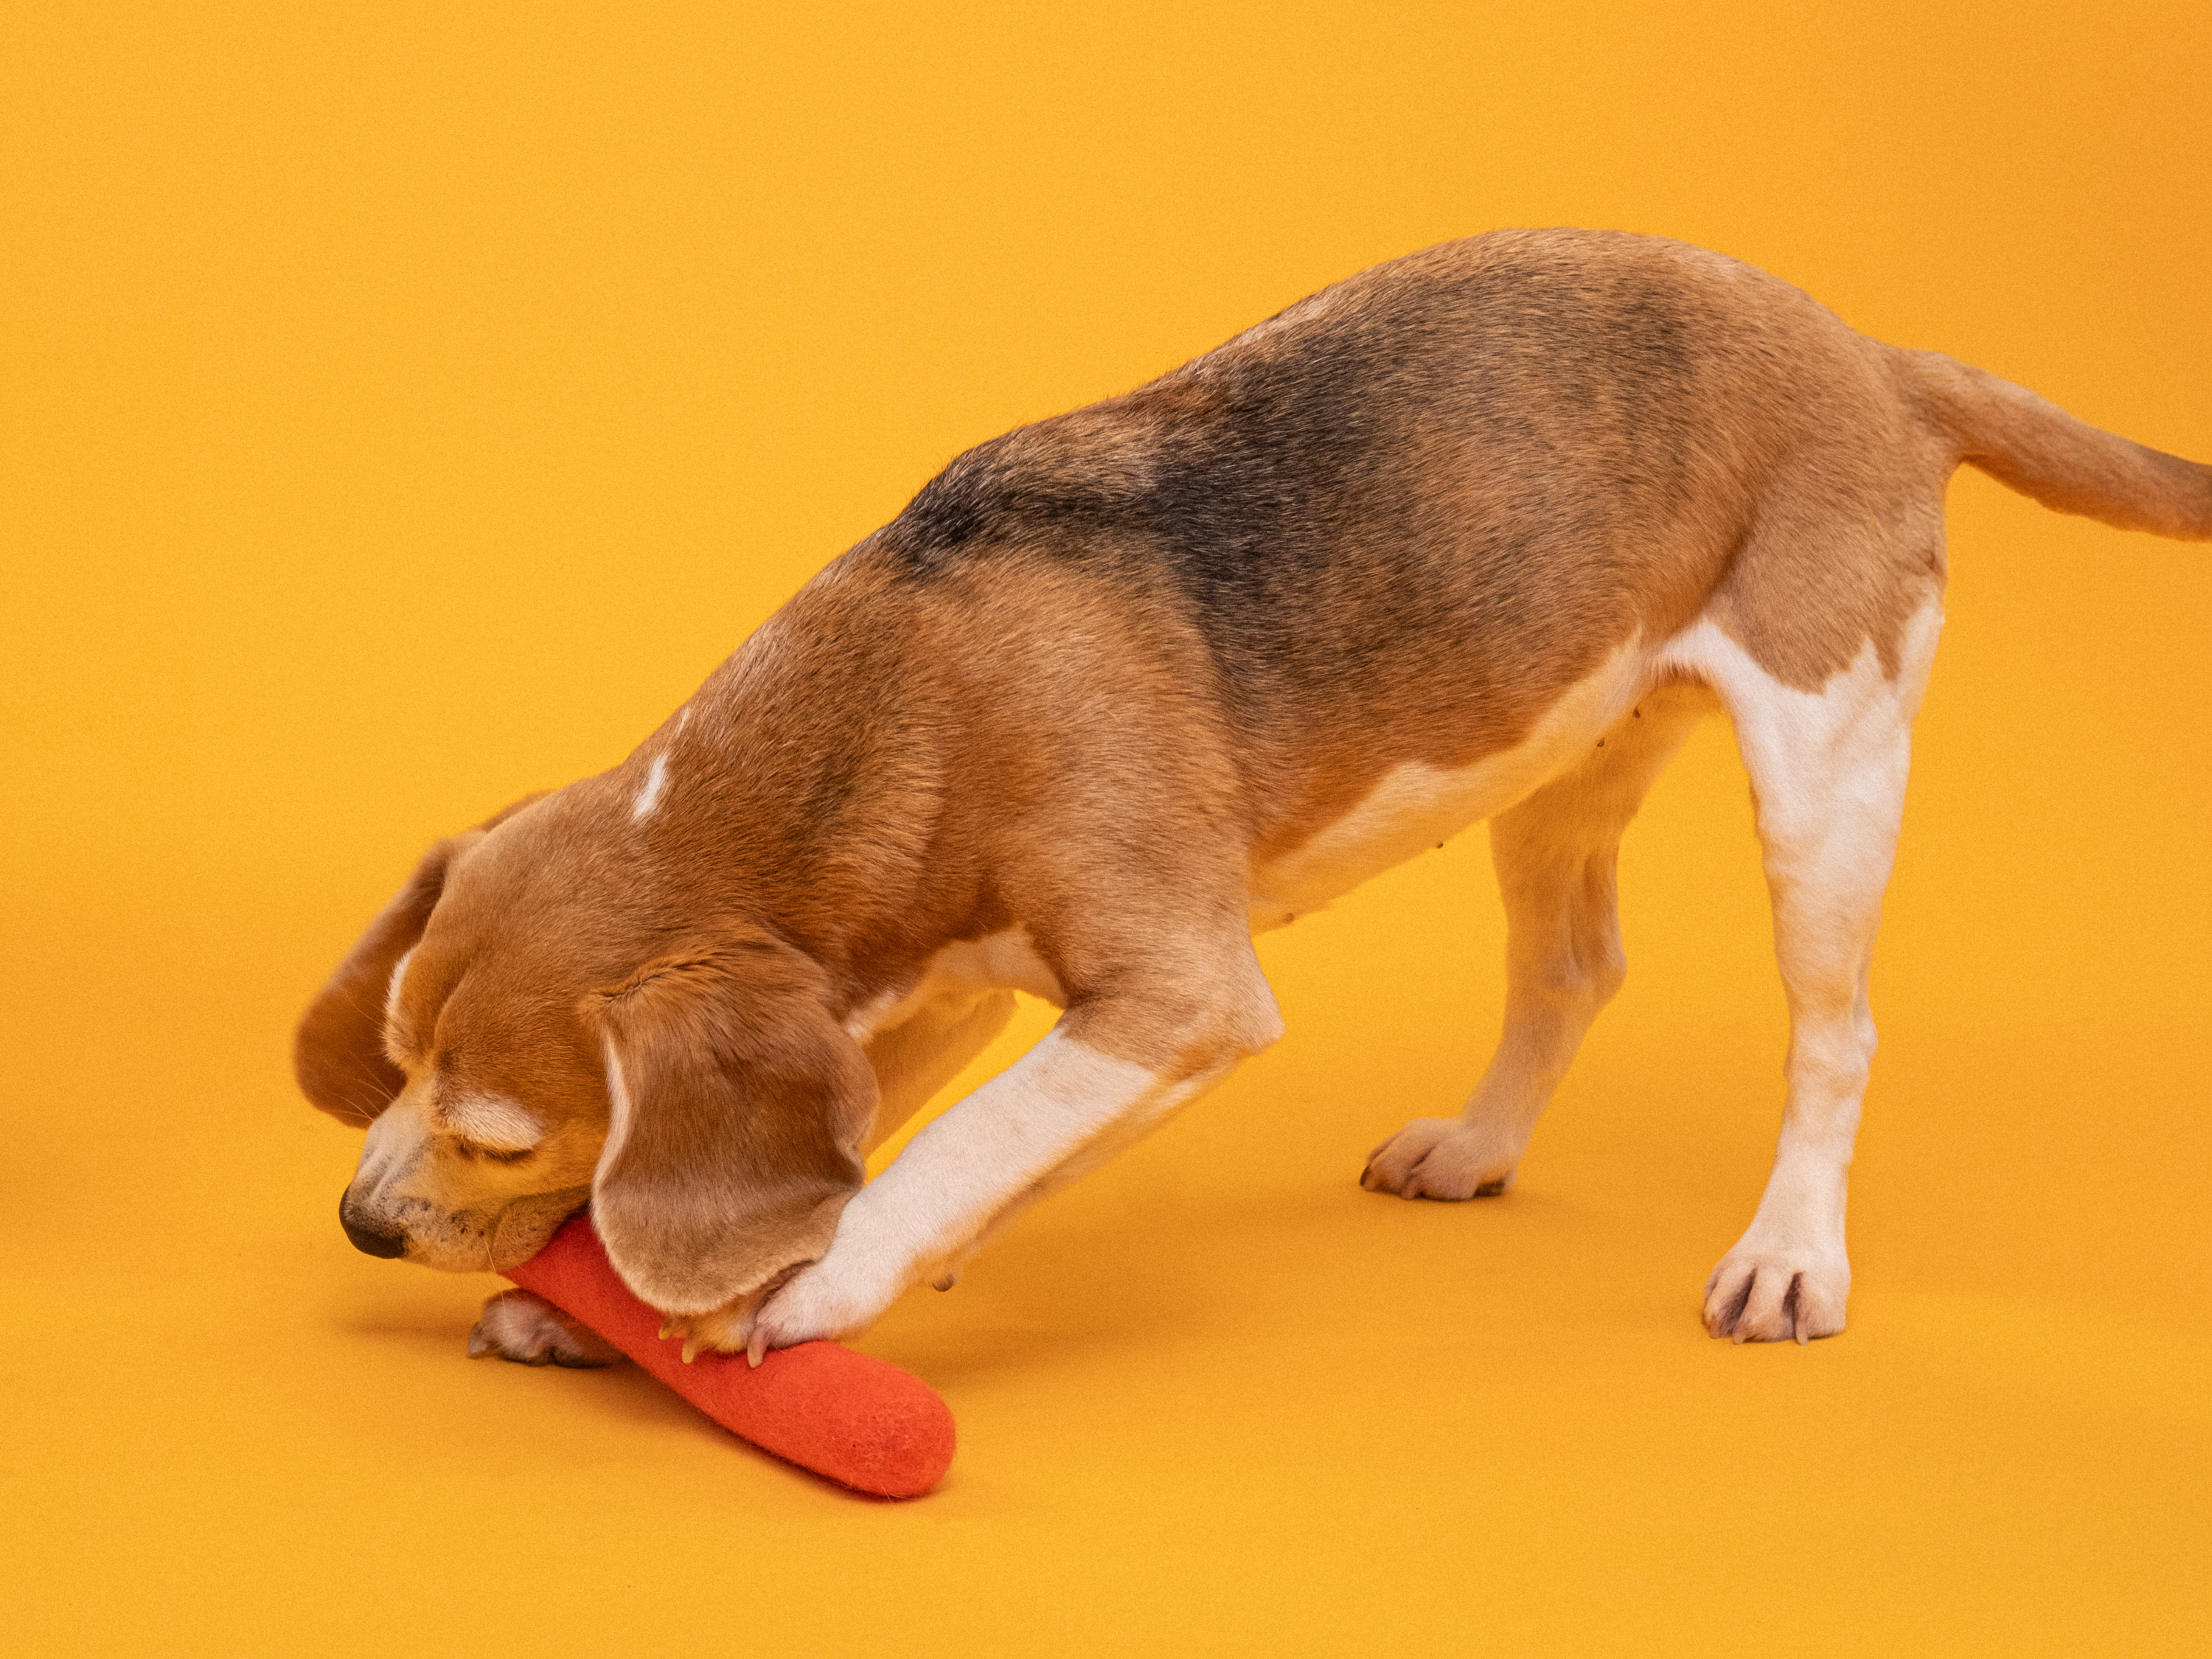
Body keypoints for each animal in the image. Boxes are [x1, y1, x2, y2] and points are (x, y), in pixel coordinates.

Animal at [299, 228, 2212, 1363]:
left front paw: (817, 1284)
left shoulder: (1177, 991)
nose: (360, 1222)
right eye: (390, 1059)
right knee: (1574, 966)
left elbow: (946, 1154)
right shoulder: (914, 990)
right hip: (1558, 755)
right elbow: (908, 1136)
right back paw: (1479, 1145)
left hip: (1826, 769)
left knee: (1834, 1038)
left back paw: (1790, 1254)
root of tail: (1873, 355)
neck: (905, 694)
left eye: (500, 1131)